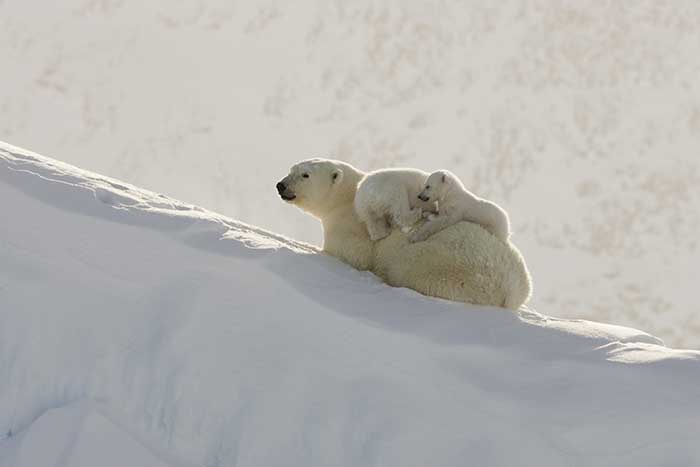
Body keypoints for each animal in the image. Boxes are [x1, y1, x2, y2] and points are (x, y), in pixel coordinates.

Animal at [276, 158, 532, 310]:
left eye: (305, 175)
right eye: (291, 169)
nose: (280, 185)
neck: (349, 197)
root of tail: (513, 288)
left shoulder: (351, 229)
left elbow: (352, 255)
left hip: (443, 269)